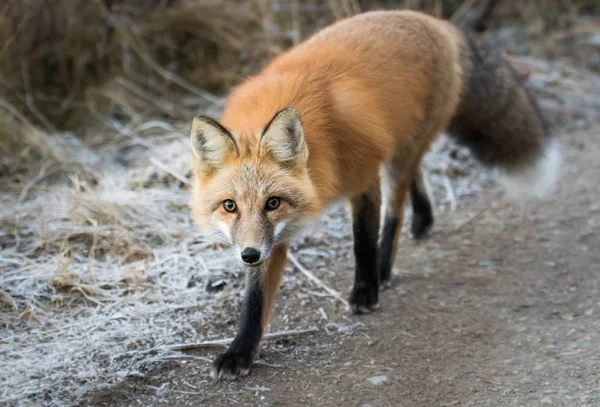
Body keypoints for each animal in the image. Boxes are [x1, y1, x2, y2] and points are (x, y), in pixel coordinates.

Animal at [189, 9, 564, 380]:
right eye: (230, 206)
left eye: (272, 203)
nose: (249, 255)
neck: (323, 147)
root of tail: (437, 23)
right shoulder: (274, 236)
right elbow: (255, 299)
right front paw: (240, 352)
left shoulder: (363, 179)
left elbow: (363, 241)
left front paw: (365, 291)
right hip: (400, 142)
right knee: (417, 174)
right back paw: (424, 218)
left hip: (398, 157)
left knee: (396, 211)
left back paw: (385, 266)